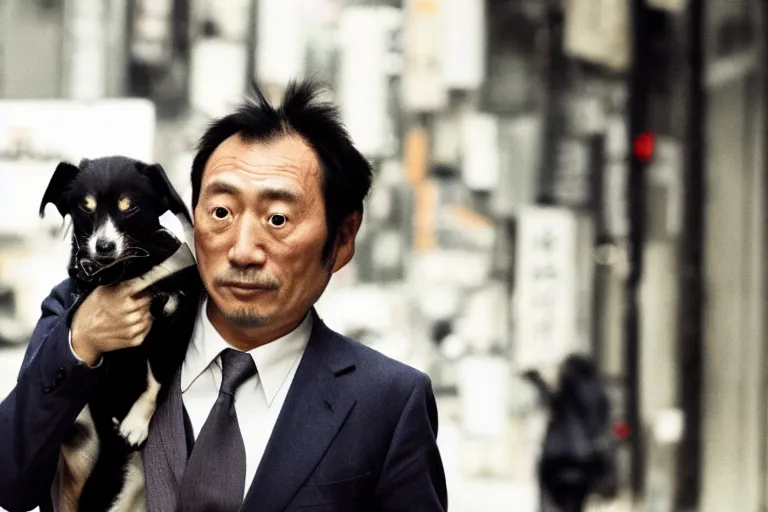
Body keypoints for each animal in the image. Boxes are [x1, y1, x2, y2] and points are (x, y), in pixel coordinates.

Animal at [39, 156, 202, 512]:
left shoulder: (177, 321)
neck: (127, 271)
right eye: (85, 207)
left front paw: (137, 421)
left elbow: (156, 378)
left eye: (130, 207)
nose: (104, 246)